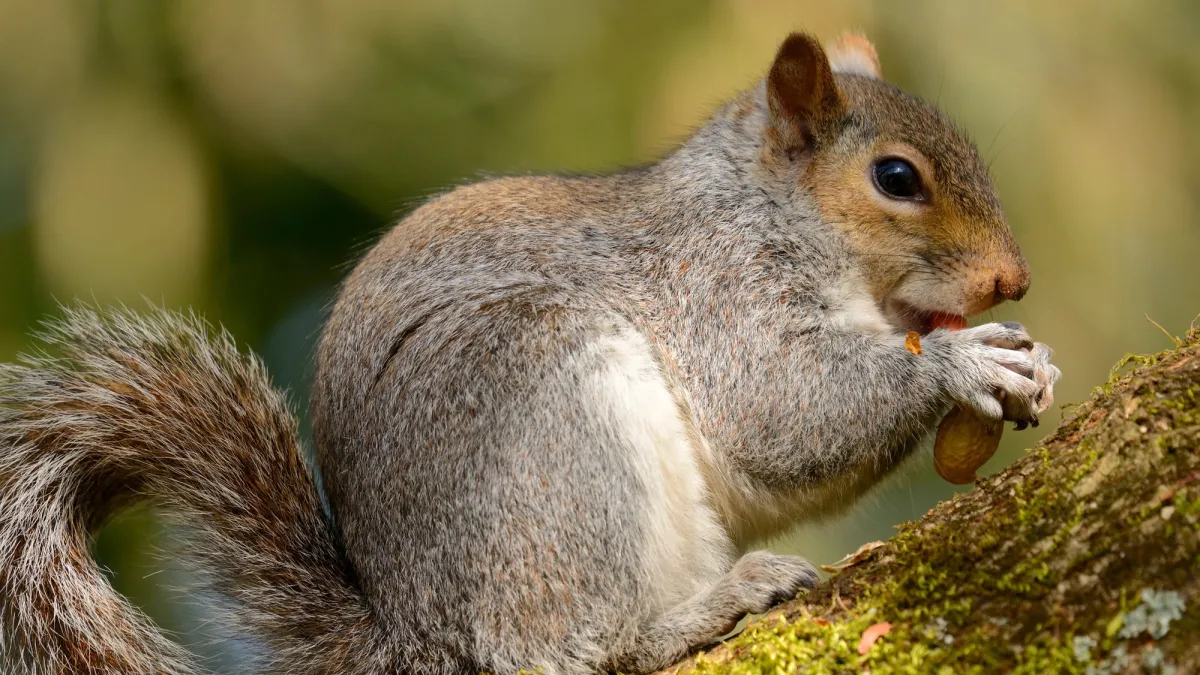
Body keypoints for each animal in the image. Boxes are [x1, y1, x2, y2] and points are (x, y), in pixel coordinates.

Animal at [0, 32, 1061, 675]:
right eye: (897, 178)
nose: (1013, 281)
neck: (765, 208)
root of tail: (413, 635)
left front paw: (1031, 363)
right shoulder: (719, 291)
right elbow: (777, 413)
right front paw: (967, 366)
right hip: (541, 412)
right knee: (571, 649)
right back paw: (705, 610)